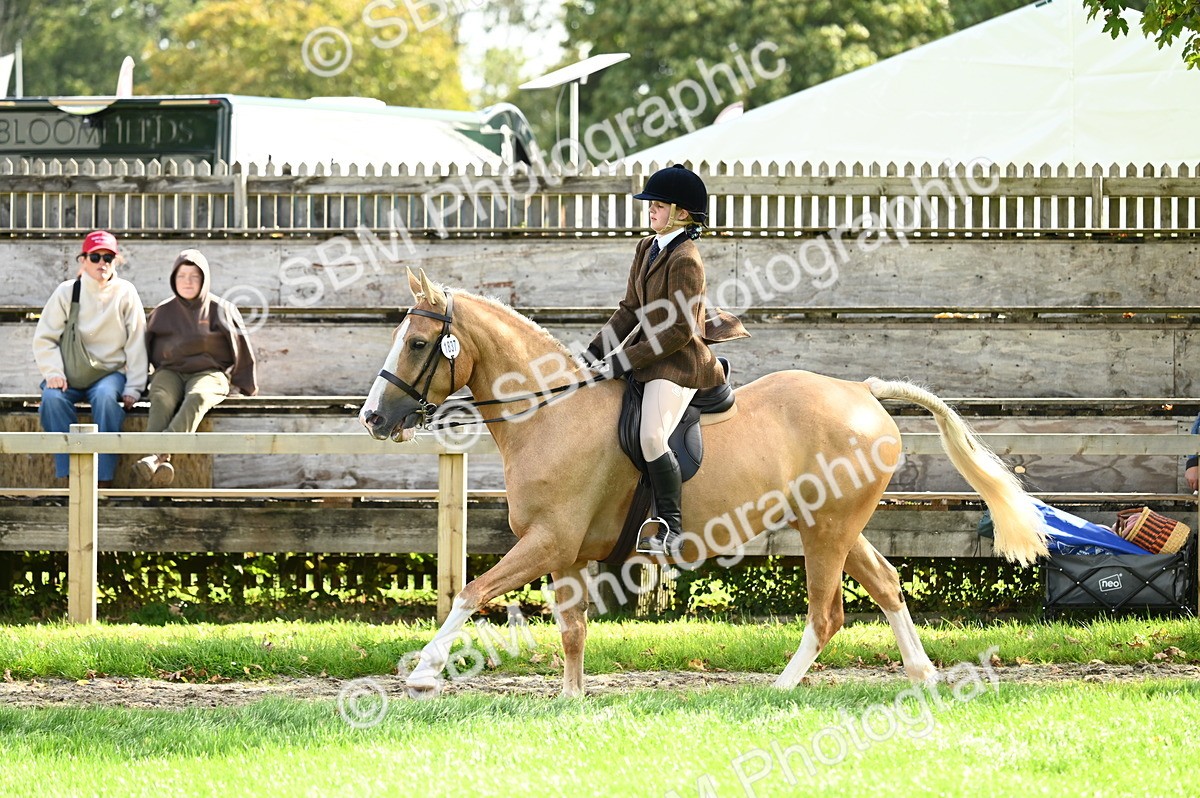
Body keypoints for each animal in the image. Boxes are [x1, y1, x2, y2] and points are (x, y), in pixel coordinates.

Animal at [360, 268, 1047, 699]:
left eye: (417, 342)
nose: (373, 419)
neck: (551, 411)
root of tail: (861, 390)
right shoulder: (566, 552)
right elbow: (571, 628)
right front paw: (573, 699)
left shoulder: (547, 542)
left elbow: (472, 592)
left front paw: (423, 673)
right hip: (836, 524)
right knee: (885, 584)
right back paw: (922, 675)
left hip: (826, 530)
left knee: (826, 614)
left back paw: (778, 690)